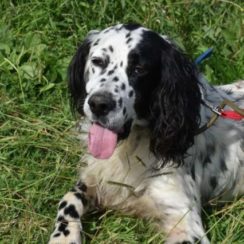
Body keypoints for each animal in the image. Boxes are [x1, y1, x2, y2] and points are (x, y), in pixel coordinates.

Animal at [48, 23, 243, 244]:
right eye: (97, 61)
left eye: (139, 69)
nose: (98, 104)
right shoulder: (97, 179)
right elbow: (68, 199)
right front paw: (63, 236)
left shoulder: (185, 223)